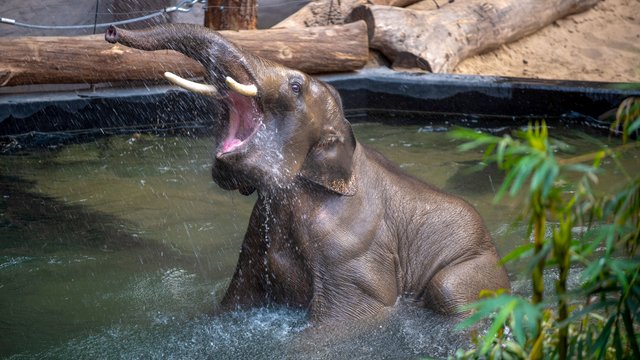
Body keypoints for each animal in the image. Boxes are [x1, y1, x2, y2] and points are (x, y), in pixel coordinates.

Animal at [105, 24, 508, 324]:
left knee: (449, 291)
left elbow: (352, 318)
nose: (110, 32)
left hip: (472, 267)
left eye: (296, 86)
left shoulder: (354, 243)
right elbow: (232, 303)